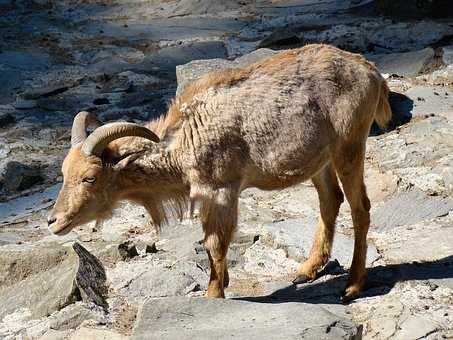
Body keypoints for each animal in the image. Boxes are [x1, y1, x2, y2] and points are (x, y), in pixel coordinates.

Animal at [47, 43, 390, 302]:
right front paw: (221, 283)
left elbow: (215, 243)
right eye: (64, 172)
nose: (53, 221)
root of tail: (371, 72)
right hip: (321, 161)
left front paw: (214, 295)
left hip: (349, 147)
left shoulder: (221, 190)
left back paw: (353, 285)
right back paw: (307, 270)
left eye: (90, 177)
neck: (186, 136)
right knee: (330, 201)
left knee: (360, 208)